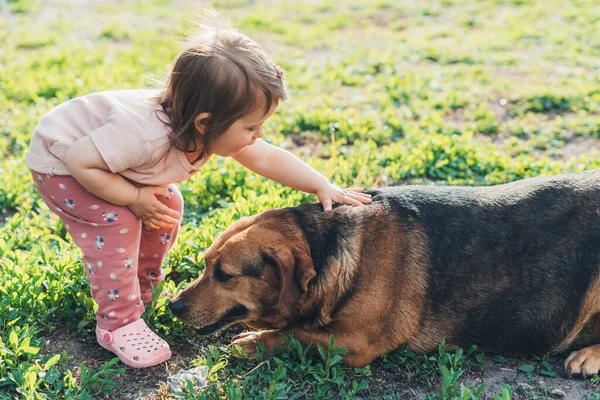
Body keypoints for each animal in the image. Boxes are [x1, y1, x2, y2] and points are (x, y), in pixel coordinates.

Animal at [169, 170, 600, 376]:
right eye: (205, 265)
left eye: (225, 275)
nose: (172, 307)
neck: (331, 249)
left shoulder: (356, 343)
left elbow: (295, 334)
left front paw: (255, 341)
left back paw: (586, 357)